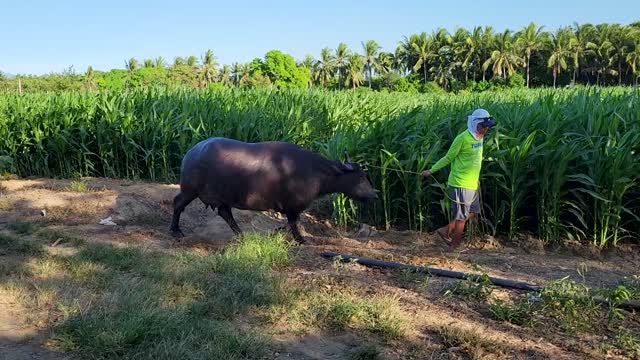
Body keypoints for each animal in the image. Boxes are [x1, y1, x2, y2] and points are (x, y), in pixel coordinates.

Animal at [171, 136, 380, 243]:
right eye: (360, 177)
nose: (374, 196)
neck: (314, 172)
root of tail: (191, 153)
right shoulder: (293, 206)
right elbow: (294, 223)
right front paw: (301, 239)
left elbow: (290, 223)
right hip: (189, 190)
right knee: (178, 204)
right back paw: (176, 231)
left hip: (221, 197)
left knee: (226, 213)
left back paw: (241, 234)